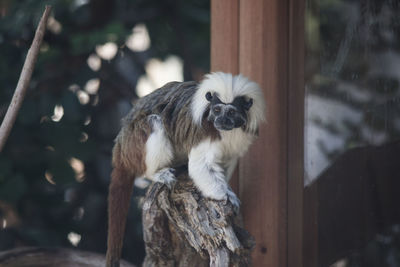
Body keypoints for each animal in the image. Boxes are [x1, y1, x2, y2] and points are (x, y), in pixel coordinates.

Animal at [106, 72, 266, 266]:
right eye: (217, 110)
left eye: (231, 112)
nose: (221, 121)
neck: (228, 132)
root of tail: (120, 148)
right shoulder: (205, 132)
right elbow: (200, 166)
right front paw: (224, 196)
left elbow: (226, 162)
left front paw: (229, 192)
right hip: (134, 143)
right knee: (154, 122)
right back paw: (156, 173)